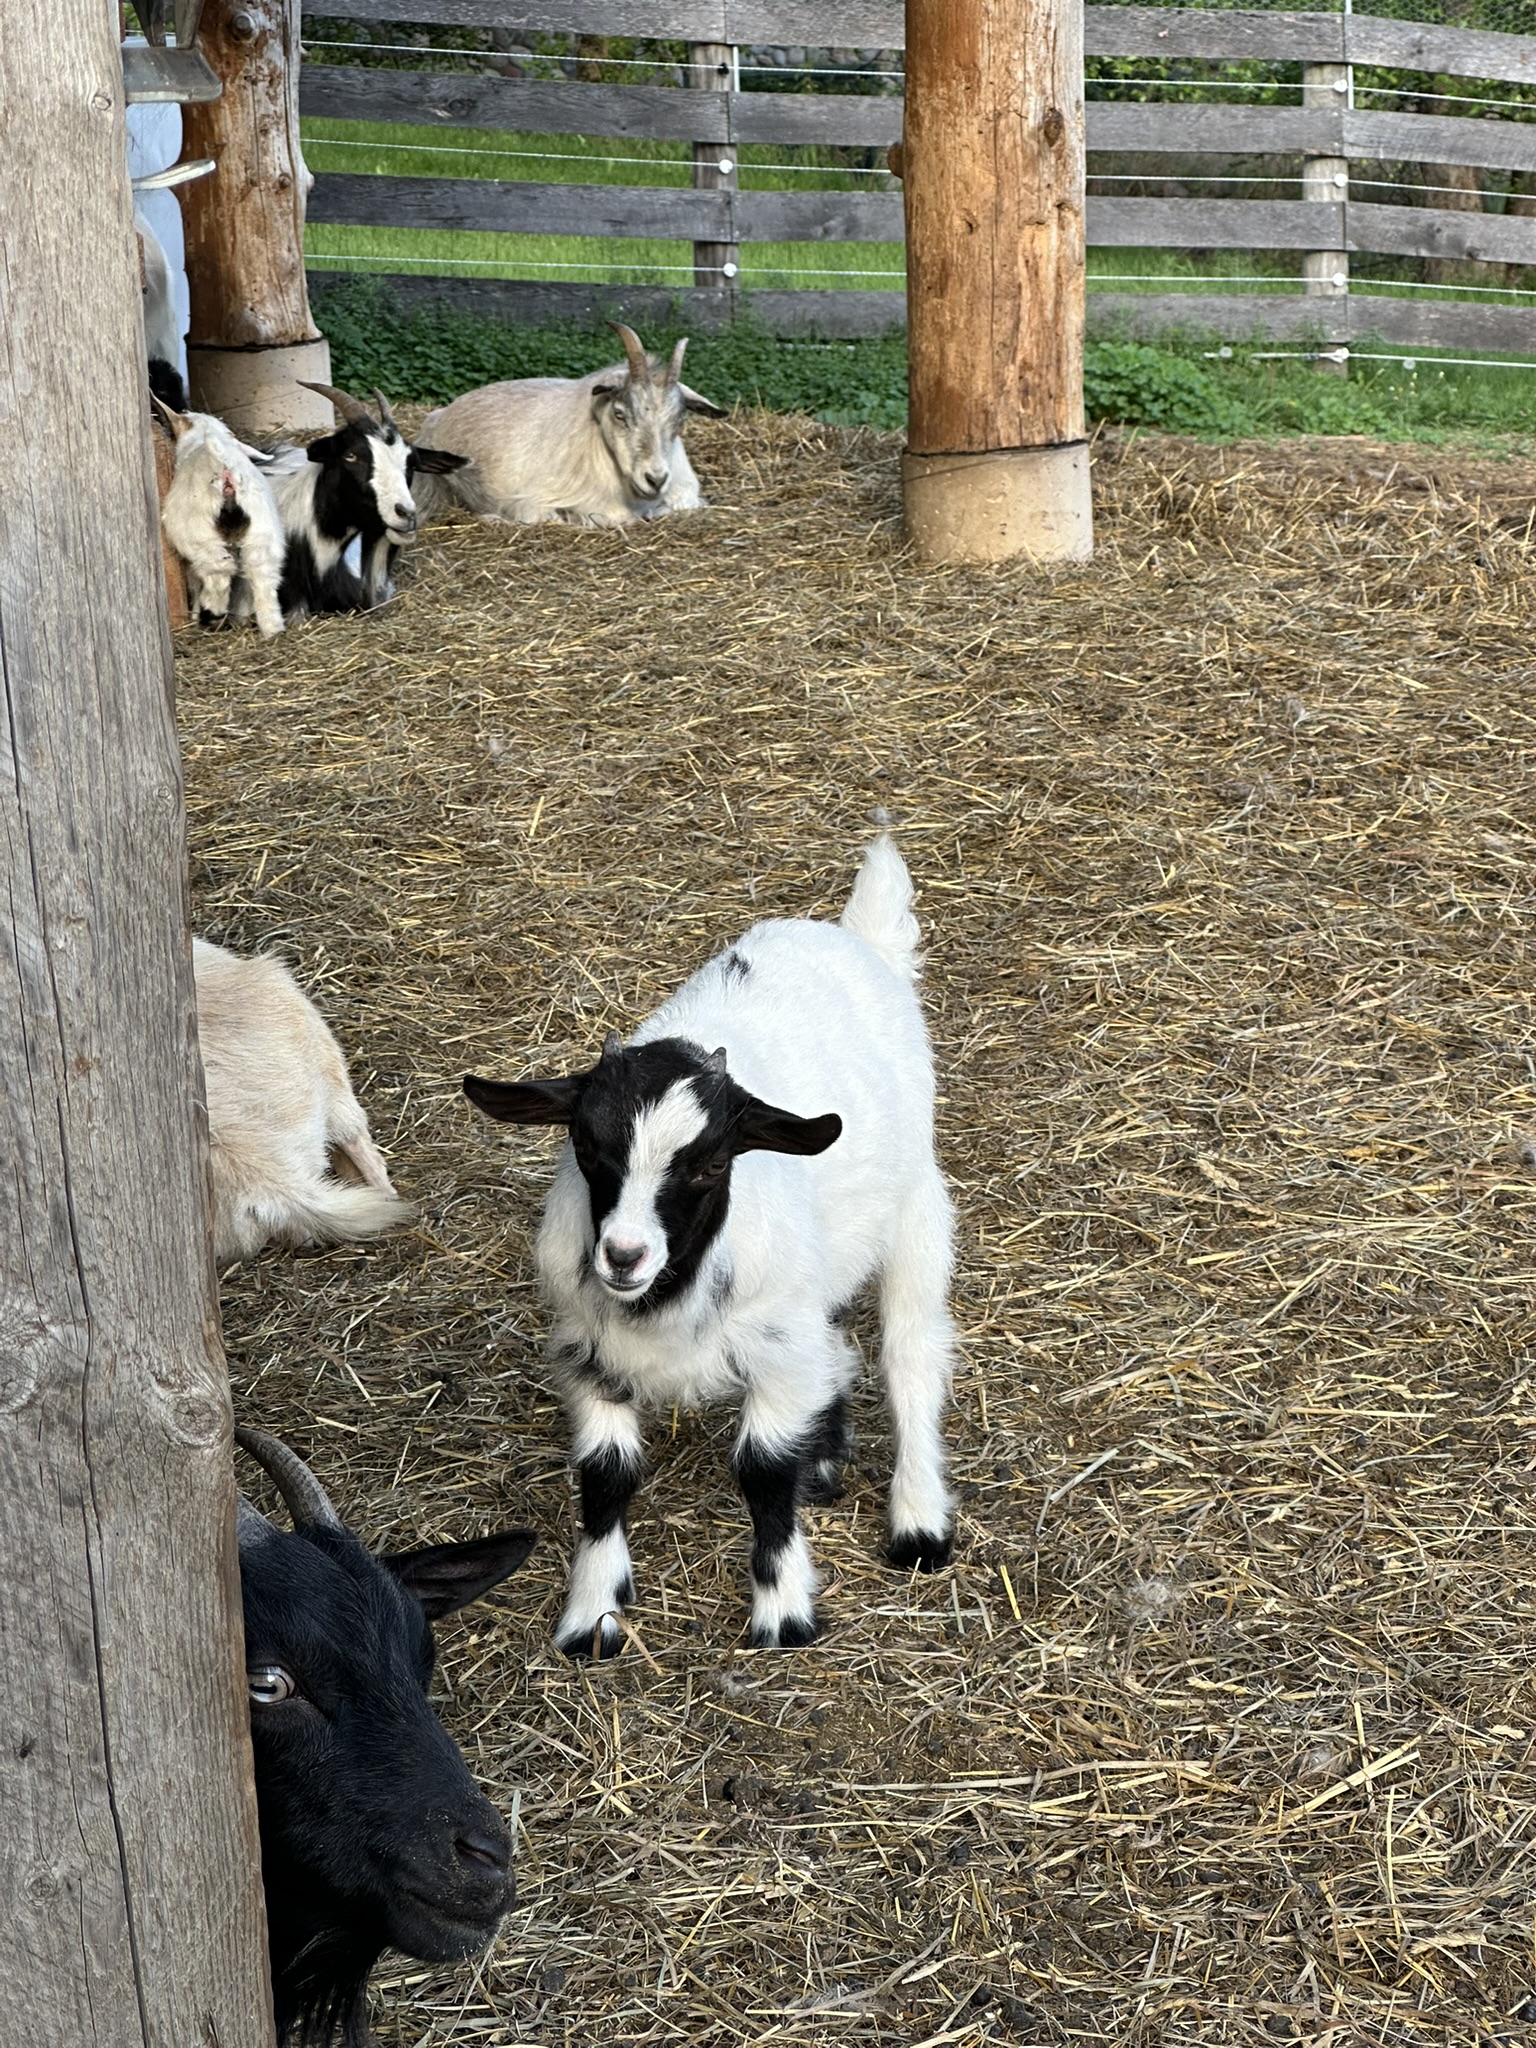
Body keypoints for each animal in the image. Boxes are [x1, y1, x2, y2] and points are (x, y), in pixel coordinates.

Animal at [156, 401, 286, 639]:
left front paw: (195, 614)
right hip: (263, 537)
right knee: (264, 583)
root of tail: (226, 472)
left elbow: (194, 583)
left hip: (203, 541)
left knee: (219, 575)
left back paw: (213, 617)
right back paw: (272, 632)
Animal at [411, 323, 725, 529]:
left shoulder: (685, 495)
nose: (655, 479)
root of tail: (438, 415)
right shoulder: (532, 500)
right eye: (619, 414)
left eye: (680, 420)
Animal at [464, 834, 955, 1657]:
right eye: (585, 1146)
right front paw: (592, 1613)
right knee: (839, 1346)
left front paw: (783, 1612)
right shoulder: (586, 1349)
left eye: (712, 1163)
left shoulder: (775, 1347)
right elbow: (605, 1471)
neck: (670, 1295)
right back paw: (828, 1454)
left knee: (911, 1356)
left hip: (917, 1210)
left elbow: (762, 1468)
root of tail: (855, 937)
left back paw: (919, 1520)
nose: (623, 1256)